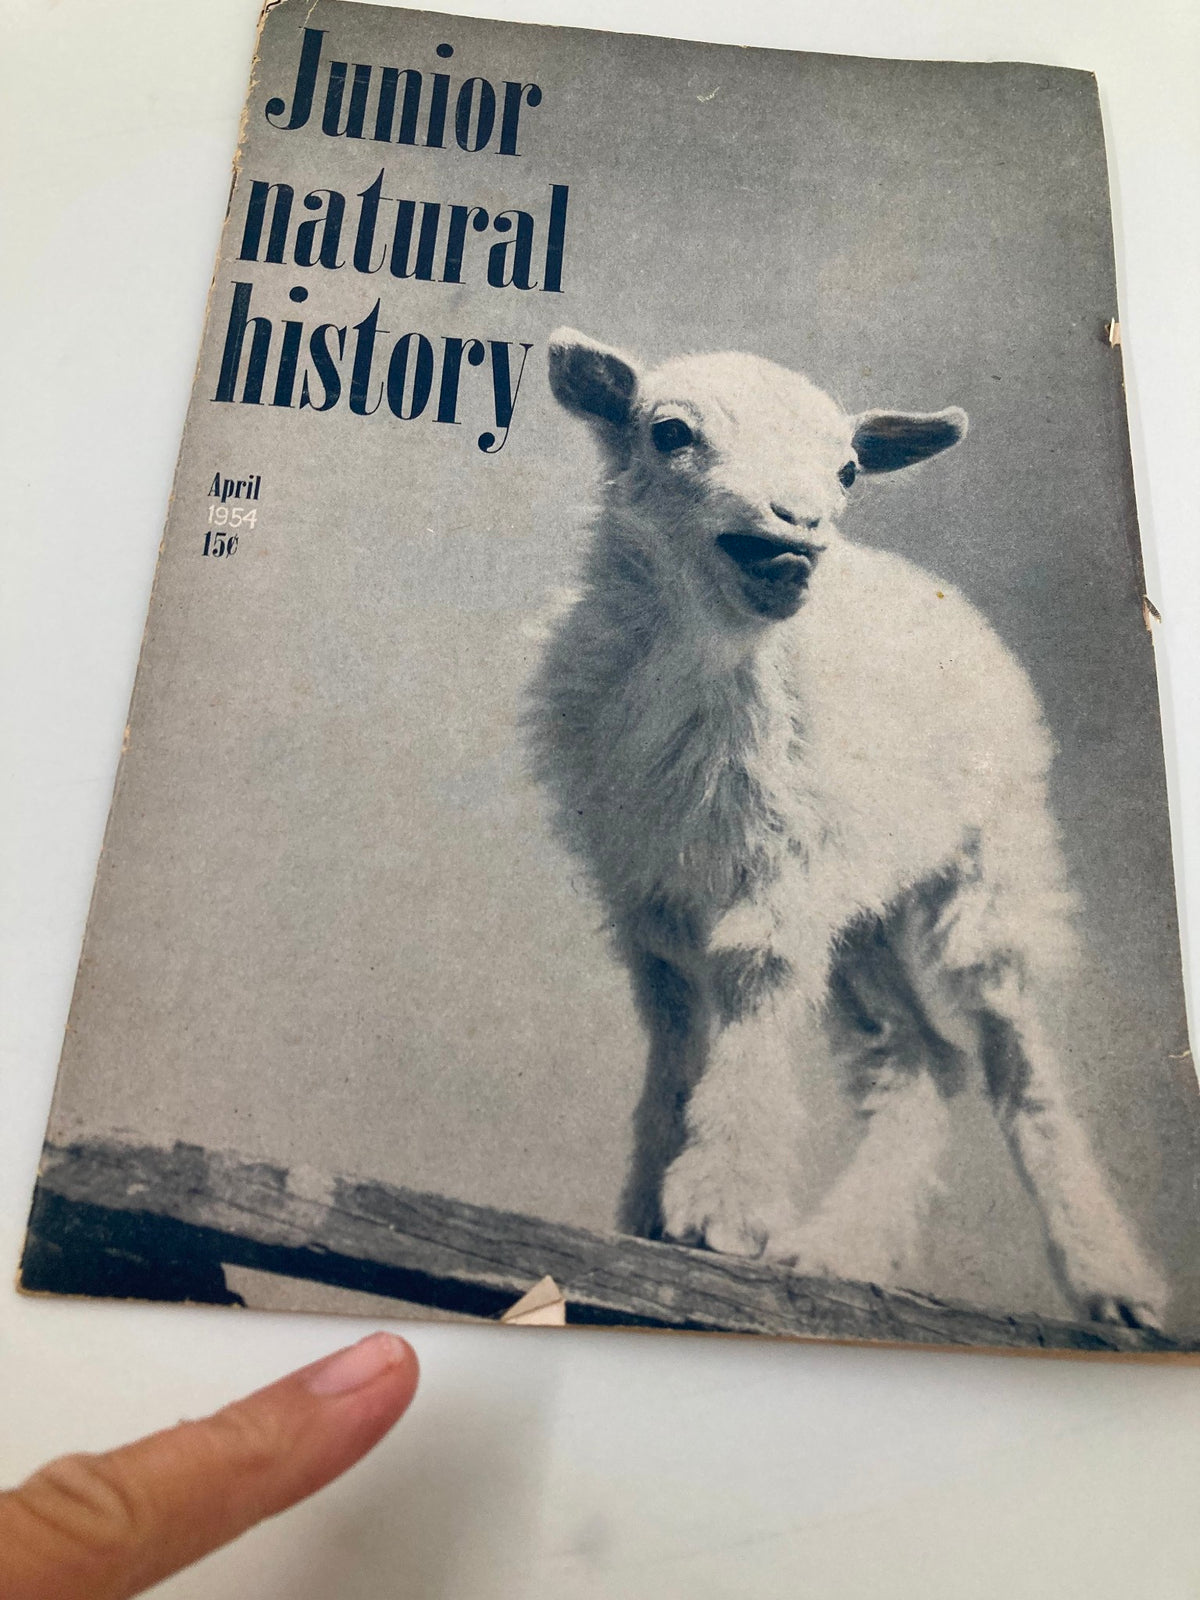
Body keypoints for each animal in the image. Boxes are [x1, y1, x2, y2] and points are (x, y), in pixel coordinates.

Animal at [528, 328, 1167, 1331]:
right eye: (670, 432)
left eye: (848, 471)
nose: (798, 528)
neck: (707, 661)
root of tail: (924, 582)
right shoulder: (648, 887)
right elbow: (673, 1018)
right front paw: (647, 1206)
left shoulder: (785, 864)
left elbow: (752, 979)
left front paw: (722, 1201)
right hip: (860, 903)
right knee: (916, 1057)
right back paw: (843, 1247)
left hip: (994, 858)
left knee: (1013, 1054)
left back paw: (1110, 1276)